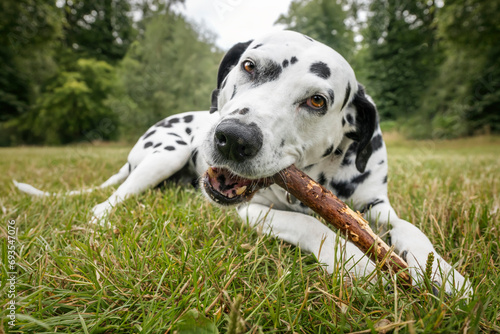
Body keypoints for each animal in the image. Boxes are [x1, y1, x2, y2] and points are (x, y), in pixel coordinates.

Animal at [14, 31, 468, 296]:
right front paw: (350, 258)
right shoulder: (253, 211)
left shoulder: (375, 206)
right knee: (105, 202)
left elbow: (410, 228)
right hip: (164, 154)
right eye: (249, 65)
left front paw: (444, 274)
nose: (234, 138)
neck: (320, 177)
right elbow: (308, 223)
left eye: (316, 100)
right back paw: (101, 221)